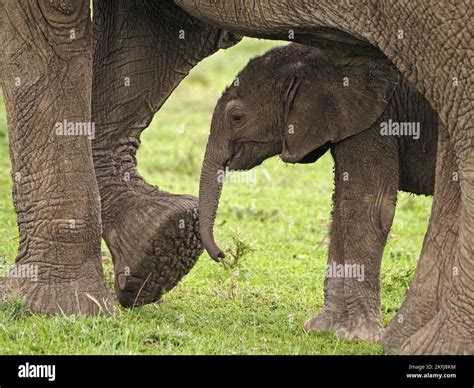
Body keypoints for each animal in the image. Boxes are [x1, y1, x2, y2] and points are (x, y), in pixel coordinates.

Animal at [198, 43, 438, 342]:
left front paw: (358, 337)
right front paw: (322, 328)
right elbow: (342, 205)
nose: (222, 254)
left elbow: (369, 206)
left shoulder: (377, 118)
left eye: (237, 117)